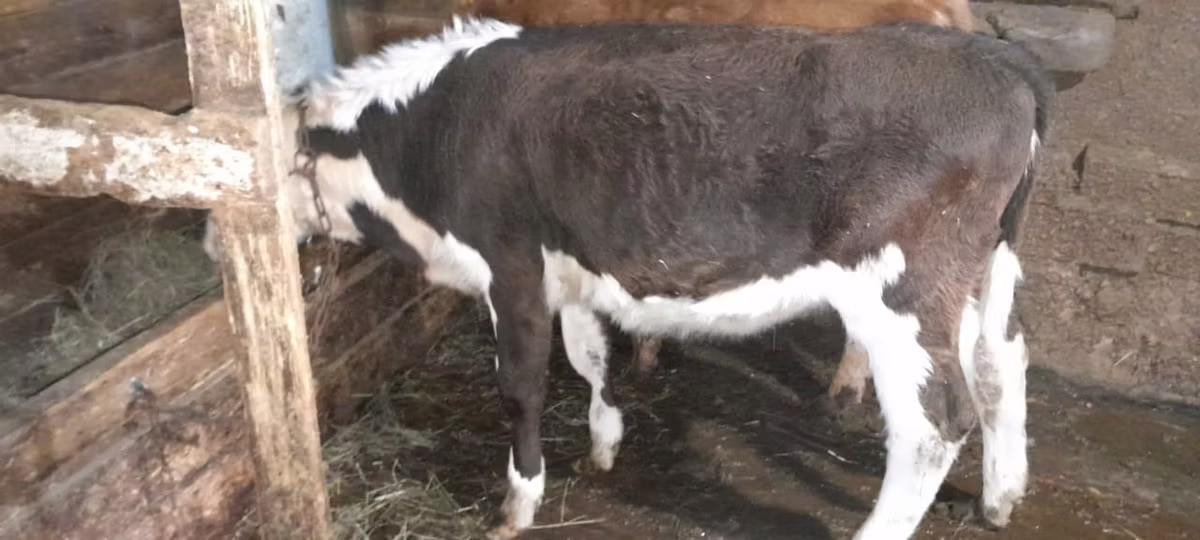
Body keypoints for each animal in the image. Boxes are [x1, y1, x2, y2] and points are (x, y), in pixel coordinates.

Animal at [204, 17, 1051, 540]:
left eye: (237, 169)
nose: (213, 240)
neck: (430, 133)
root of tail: (995, 58)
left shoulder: (510, 266)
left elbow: (521, 386)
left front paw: (519, 501)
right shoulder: (572, 264)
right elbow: (589, 355)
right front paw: (605, 442)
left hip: (899, 290)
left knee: (934, 421)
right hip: (979, 273)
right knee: (1001, 362)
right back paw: (1002, 496)